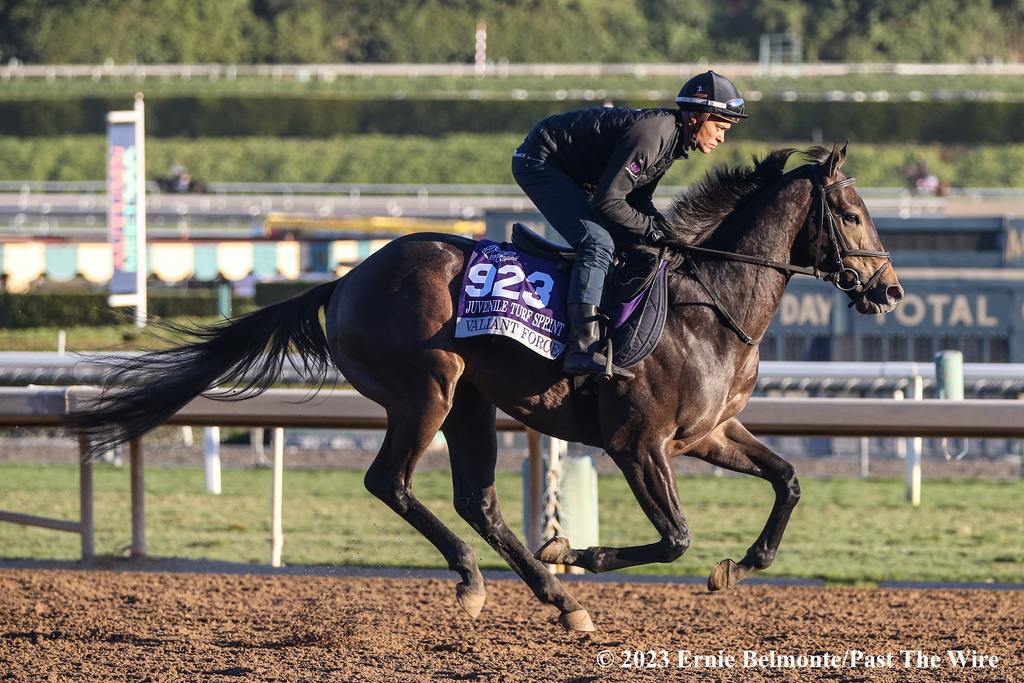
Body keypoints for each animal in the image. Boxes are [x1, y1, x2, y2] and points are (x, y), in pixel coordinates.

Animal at [70, 144, 905, 634]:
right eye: (853, 211)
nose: (891, 289)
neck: (709, 301)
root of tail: (347, 277)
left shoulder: (709, 432)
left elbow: (788, 480)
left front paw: (739, 565)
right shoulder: (640, 442)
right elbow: (675, 535)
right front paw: (576, 547)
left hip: (470, 400)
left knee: (476, 498)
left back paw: (558, 599)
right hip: (426, 391)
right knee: (391, 481)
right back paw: (491, 579)